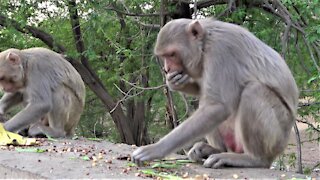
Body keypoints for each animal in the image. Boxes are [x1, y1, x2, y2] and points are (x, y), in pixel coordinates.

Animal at [131, 17, 298, 168]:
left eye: (171, 54)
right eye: (164, 56)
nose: (167, 69)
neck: (205, 43)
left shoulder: (222, 51)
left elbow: (218, 107)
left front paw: (155, 149)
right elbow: (205, 94)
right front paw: (175, 82)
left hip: (277, 137)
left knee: (253, 91)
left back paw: (254, 159)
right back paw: (214, 149)